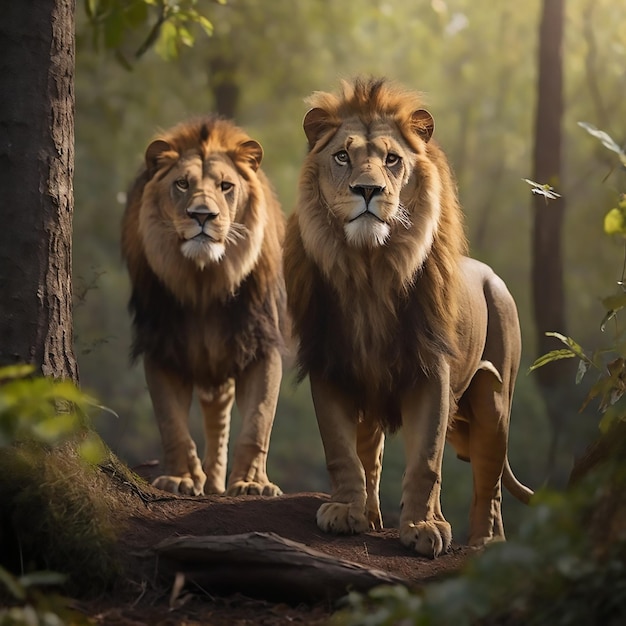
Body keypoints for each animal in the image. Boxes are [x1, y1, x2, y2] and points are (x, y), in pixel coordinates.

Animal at [120, 116, 286, 498]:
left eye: (226, 186)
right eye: (182, 184)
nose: (202, 216)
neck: (205, 280)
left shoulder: (260, 343)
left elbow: (258, 422)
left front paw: (252, 483)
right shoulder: (163, 347)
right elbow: (172, 424)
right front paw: (182, 478)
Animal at [284, 77, 532, 556]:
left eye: (392, 160)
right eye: (341, 156)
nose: (367, 190)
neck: (369, 268)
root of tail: (494, 275)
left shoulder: (431, 371)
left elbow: (426, 460)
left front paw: (423, 527)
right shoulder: (331, 365)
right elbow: (341, 451)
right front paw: (345, 511)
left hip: (493, 401)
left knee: (489, 482)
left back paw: (486, 544)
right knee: (372, 455)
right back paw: (370, 514)